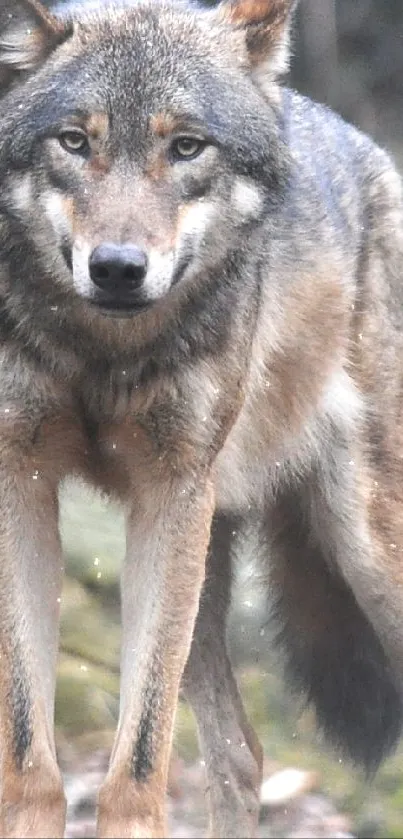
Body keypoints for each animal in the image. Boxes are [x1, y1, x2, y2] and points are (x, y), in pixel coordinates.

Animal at [0, 0, 403, 836]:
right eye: (75, 141)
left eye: (185, 146)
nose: (117, 268)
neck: (106, 355)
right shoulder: (21, 479)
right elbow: (30, 753)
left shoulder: (168, 497)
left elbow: (138, 759)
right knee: (243, 754)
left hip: (361, 544)